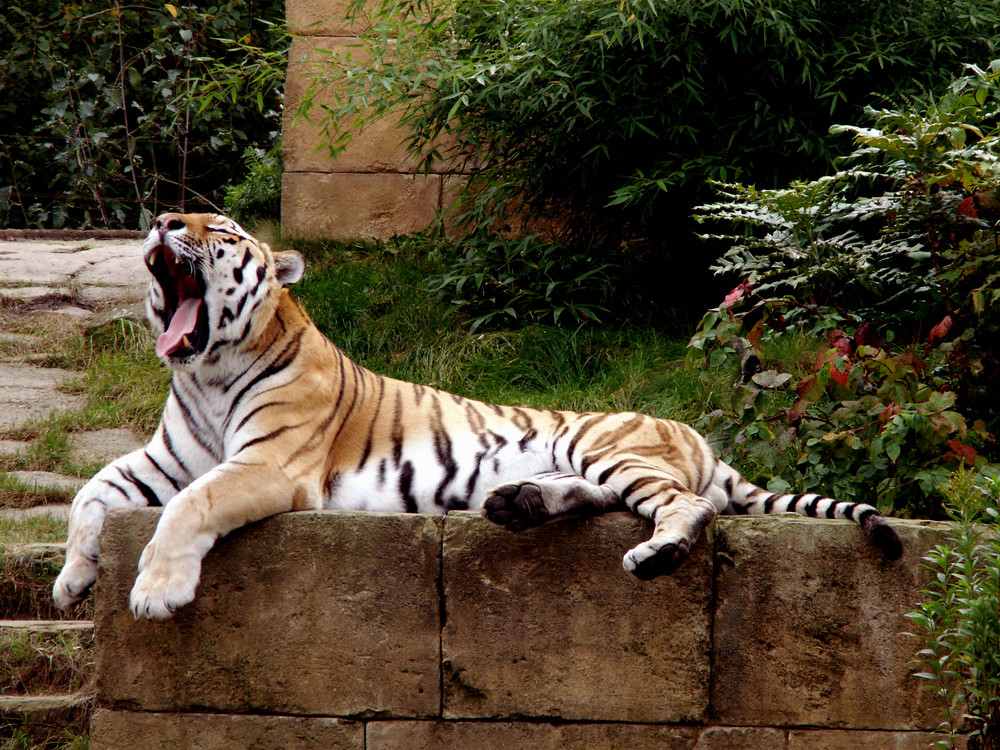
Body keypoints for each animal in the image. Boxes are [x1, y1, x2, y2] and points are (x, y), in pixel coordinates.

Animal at [50, 213, 904, 624]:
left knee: (685, 506)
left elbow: (190, 508)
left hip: (601, 442)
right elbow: (90, 493)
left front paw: (154, 593)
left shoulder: (269, 466)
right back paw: (517, 503)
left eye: (217, 229)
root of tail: (696, 436)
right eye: (173, 219)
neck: (207, 370)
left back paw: (653, 554)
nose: (162, 221)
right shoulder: (162, 460)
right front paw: (74, 578)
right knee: (612, 498)